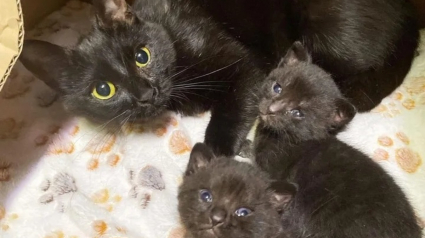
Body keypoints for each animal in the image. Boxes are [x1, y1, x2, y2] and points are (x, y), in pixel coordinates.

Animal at [19, 0, 262, 156]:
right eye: (103, 90)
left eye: (142, 56)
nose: (146, 94)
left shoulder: (245, 63)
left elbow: (235, 103)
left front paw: (218, 149)